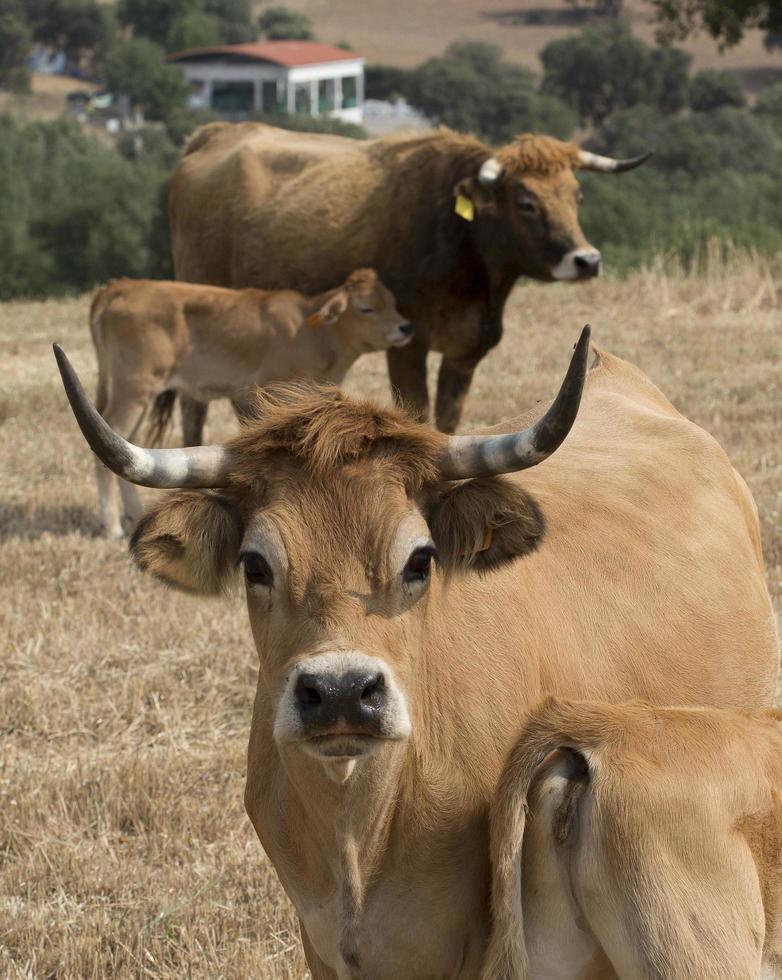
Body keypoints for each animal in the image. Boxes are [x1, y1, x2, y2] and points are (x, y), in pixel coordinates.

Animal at [170, 120, 648, 434]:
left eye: (577, 194)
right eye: (526, 202)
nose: (586, 260)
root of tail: (216, 133)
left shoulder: (465, 353)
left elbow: (448, 419)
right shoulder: (406, 346)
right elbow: (416, 412)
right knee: (193, 406)